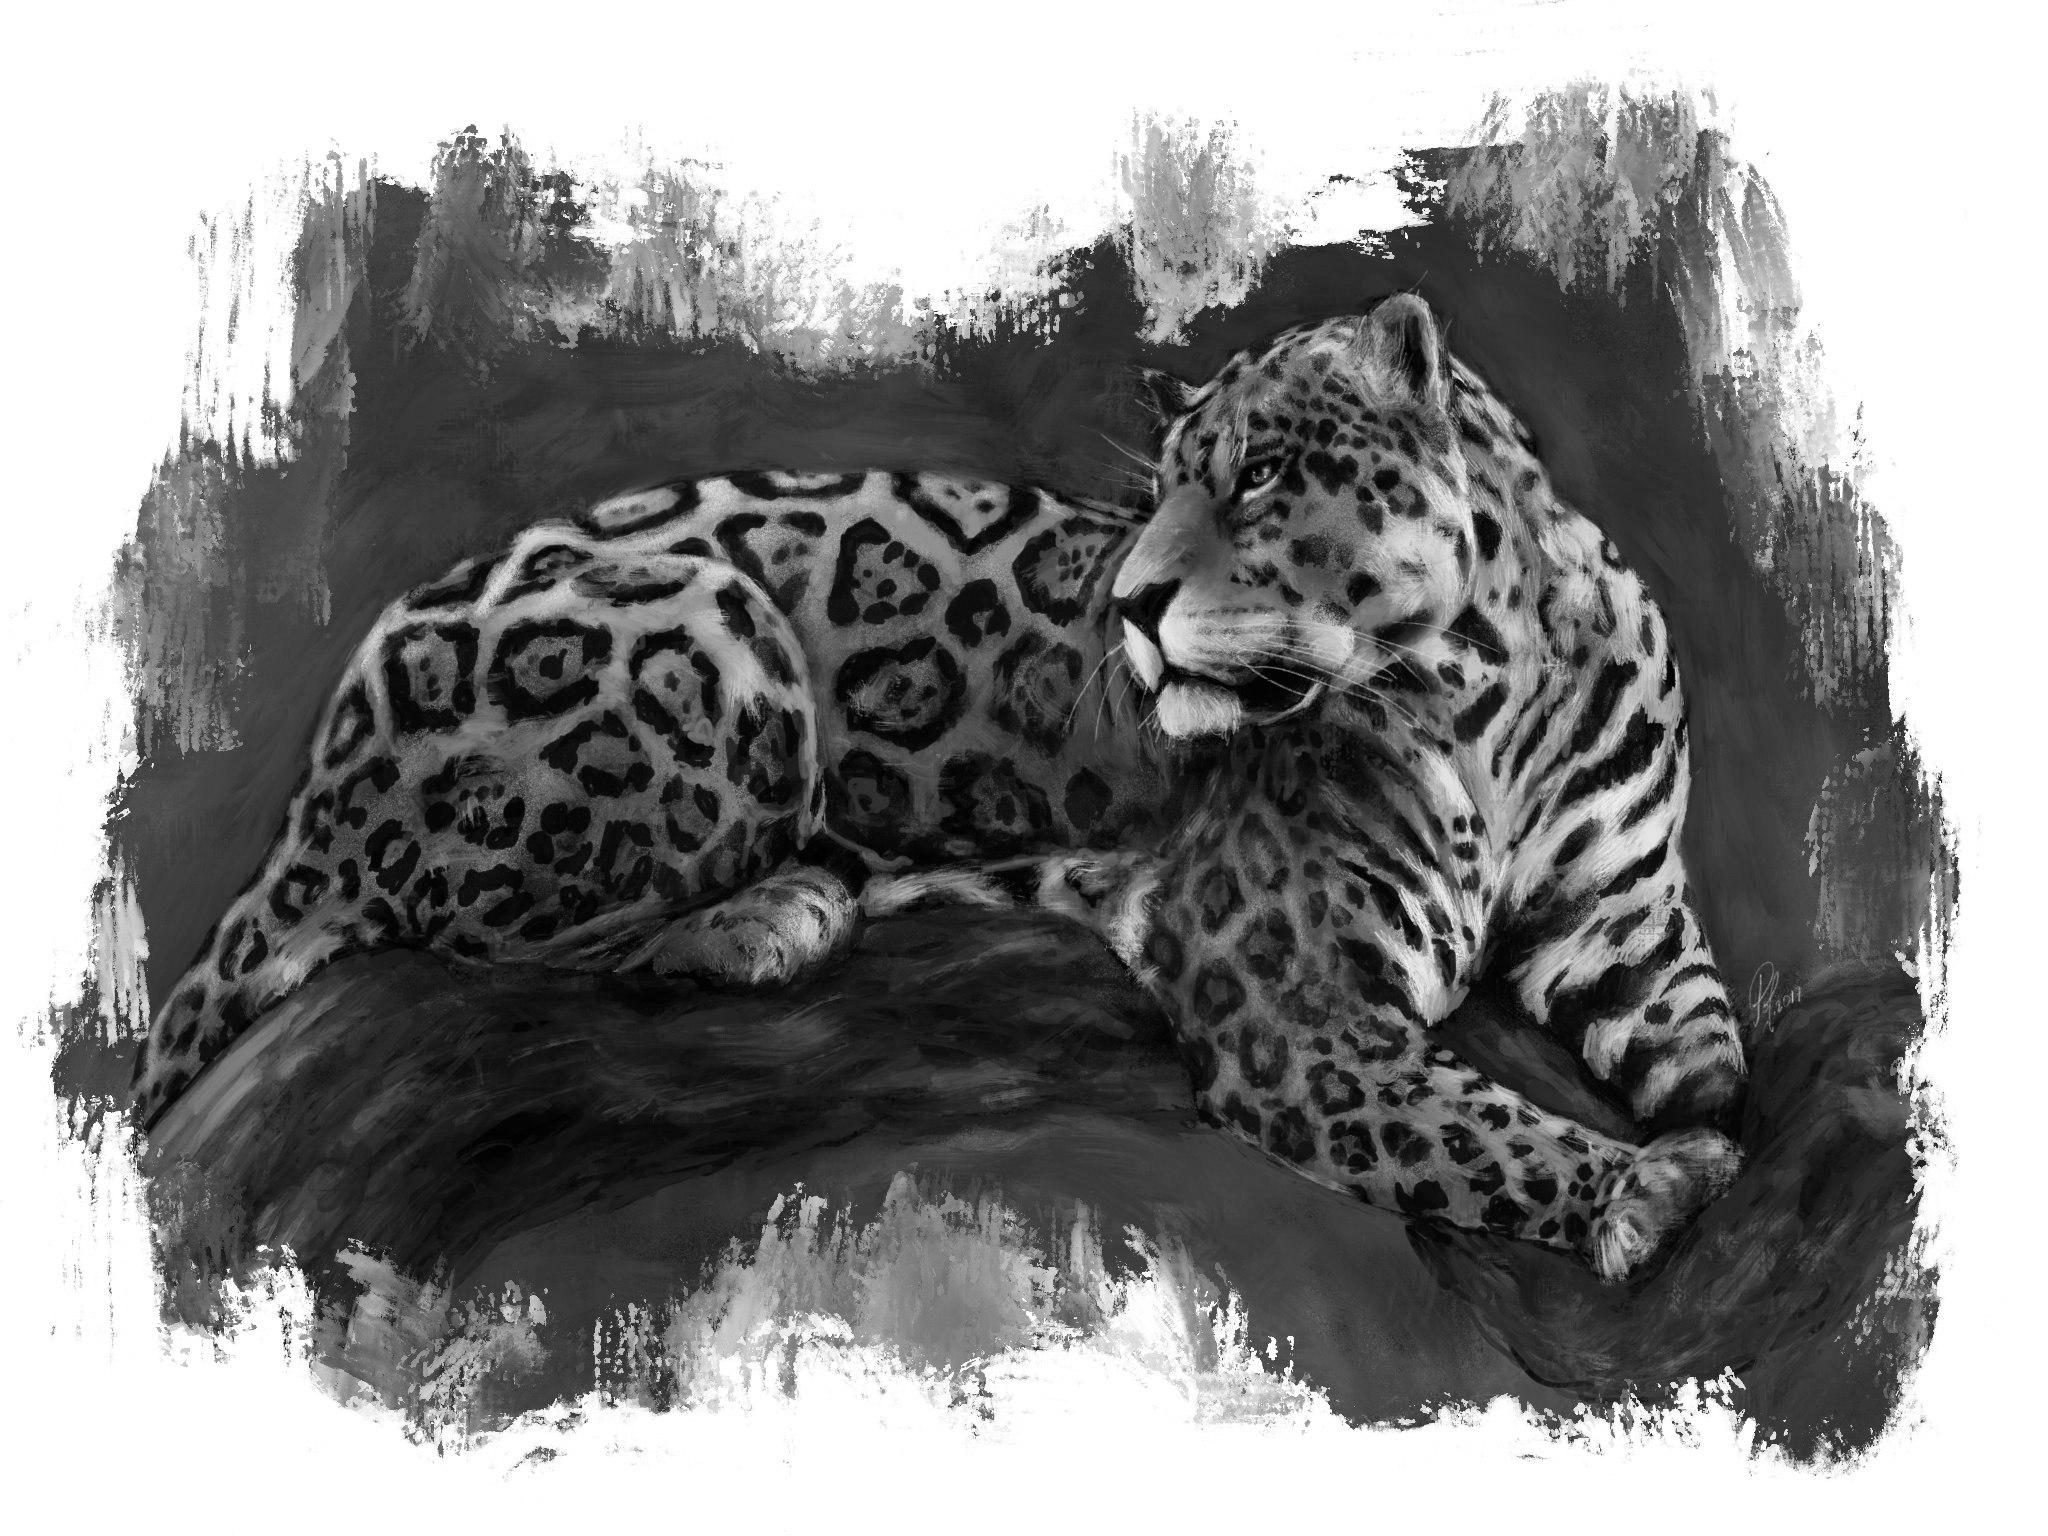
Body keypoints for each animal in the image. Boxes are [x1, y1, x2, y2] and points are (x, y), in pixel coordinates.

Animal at [130, 292, 1745, 1282]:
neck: (1489, 690)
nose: (1132, 604)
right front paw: (1637, 1192)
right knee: (477, 926)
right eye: (1167, 484)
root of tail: (332, 733)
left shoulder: (1625, 923)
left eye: (1258, 479)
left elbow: (1713, 1049)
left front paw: (1704, 1140)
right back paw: (765, 916)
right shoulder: (1290, 1005)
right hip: (712, 633)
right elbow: (1466, 1128)